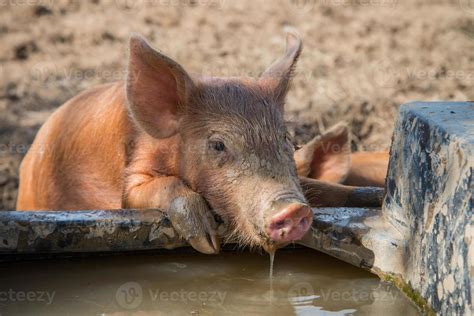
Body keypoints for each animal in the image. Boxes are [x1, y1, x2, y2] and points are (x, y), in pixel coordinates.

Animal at [18, 28, 316, 253]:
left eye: (286, 138)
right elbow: (149, 190)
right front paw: (208, 244)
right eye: (218, 145)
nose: (293, 209)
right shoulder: (133, 176)